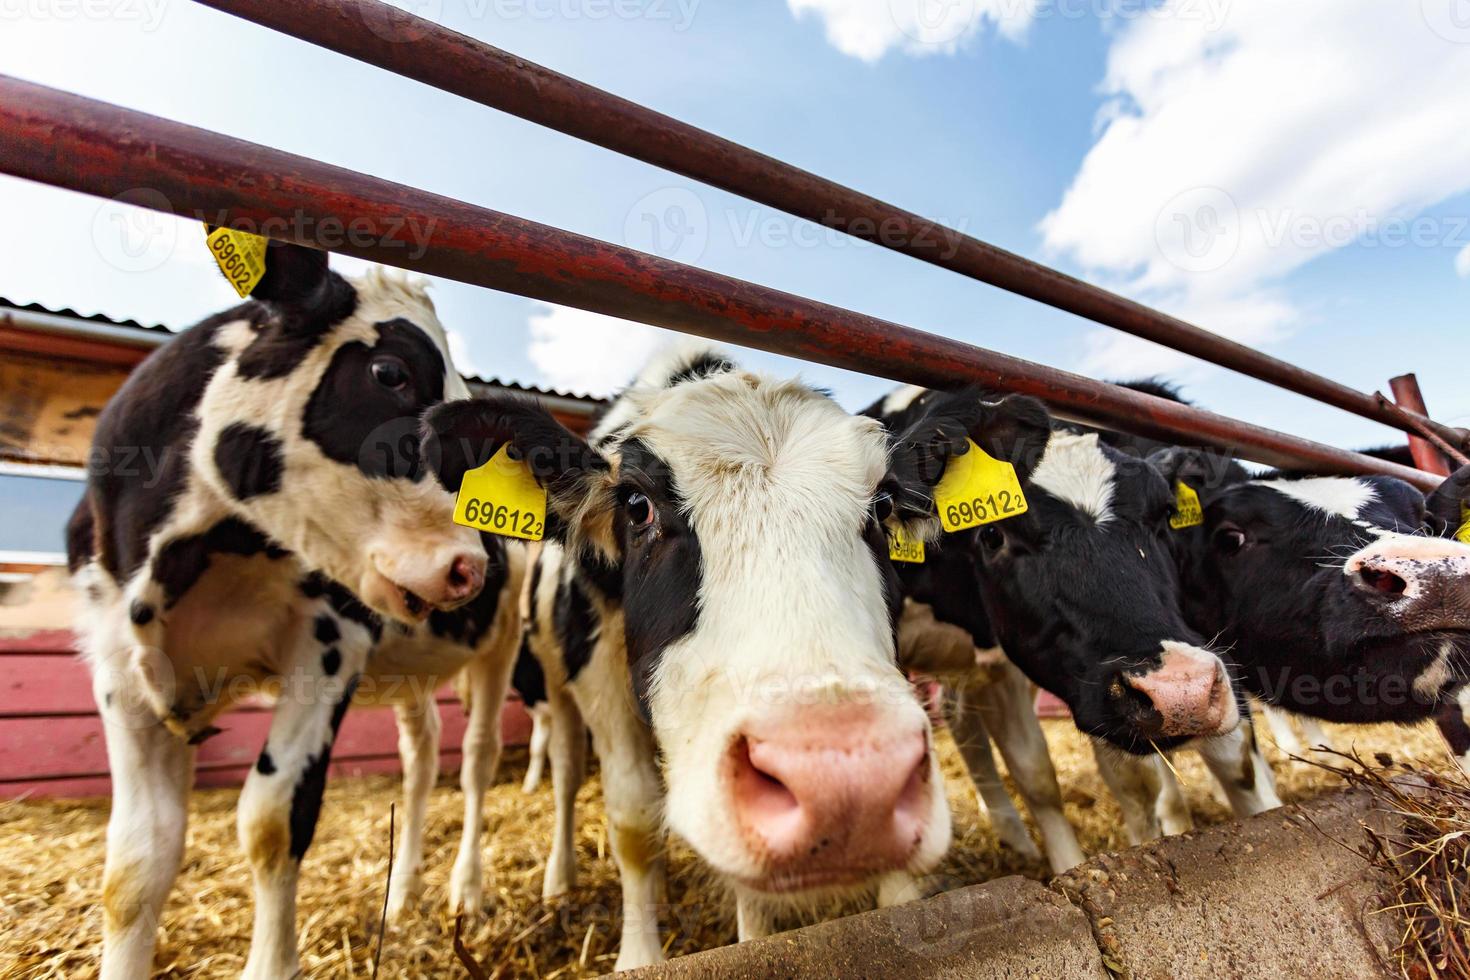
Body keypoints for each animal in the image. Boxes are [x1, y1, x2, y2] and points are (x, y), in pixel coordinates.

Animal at [64, 239, 523, 980]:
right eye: (389, 372)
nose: (472, 567)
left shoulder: (329, 643)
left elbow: (274, 821)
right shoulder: (119, 668)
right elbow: (135, 863)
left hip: (501, 642)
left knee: (479, 757)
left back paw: (468, 888)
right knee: (422, 756)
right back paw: (403, 894)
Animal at [426, 346, 952, 975]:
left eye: (883, 503)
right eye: (637, 505)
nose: (849, 785)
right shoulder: (597, 679)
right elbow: (632, 824)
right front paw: (638, 955)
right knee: (566, 771)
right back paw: (560, 876)